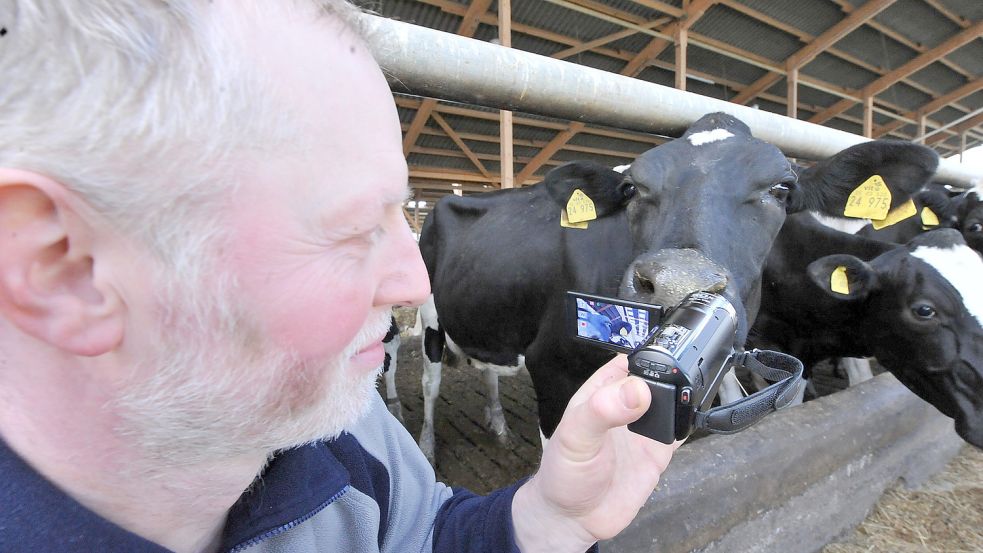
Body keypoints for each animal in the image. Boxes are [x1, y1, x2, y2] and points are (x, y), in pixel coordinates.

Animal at [416, 113, 936, 466]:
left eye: (782, 189)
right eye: (630, 188)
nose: (676, 285)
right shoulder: (552, 367)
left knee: (488, 366)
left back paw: (498, 424)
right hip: (427, 320)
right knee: (429, 385)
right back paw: (426, 444)